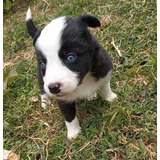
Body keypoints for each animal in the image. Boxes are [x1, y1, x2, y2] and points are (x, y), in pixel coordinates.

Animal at [26, 8, 116, 139]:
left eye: (70, 58)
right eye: (43, 65)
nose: (53, 87)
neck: (83, 80)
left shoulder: (104, 70)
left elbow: (105, 88)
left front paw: (110, 98)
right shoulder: (62, 99)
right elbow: (69, 117)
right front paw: (74, 133)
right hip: (40, 77)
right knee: (42, 89)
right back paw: (45, 102)